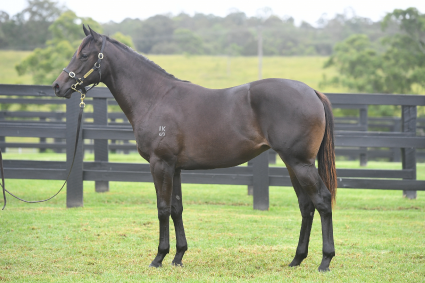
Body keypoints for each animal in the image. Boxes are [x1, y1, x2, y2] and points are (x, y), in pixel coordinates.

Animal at [53, 27, 336, 272]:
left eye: (84, 55)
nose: (58, 86)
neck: (155, 97)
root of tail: (312, 92)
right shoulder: (175, 168)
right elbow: (176, 208)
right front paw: (178, 256)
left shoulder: (160, 164)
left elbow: (162, 208)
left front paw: (159, 257)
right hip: (292, 165)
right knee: (306, 206)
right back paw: (297, 259)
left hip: (300, 163)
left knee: (322, 201)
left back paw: (325, 261)